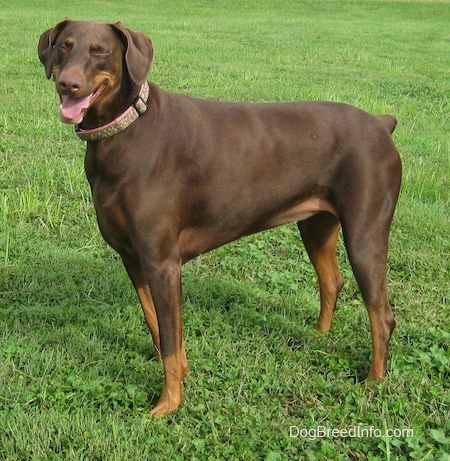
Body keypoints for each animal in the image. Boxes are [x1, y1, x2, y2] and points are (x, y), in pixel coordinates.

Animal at [38, 18, 402, 416]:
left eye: (100, 50)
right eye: (63, 46)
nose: (67, 83)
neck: (128, 130)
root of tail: (381, 123)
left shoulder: (162, 263)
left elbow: (169, 339)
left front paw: (168, 404)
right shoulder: (133, 259)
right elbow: (159, 328)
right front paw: (180, 375)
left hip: (365, 231)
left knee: (381, 313)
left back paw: (373, 381)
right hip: (316, 225)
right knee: (332, 281)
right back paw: (318, 336)